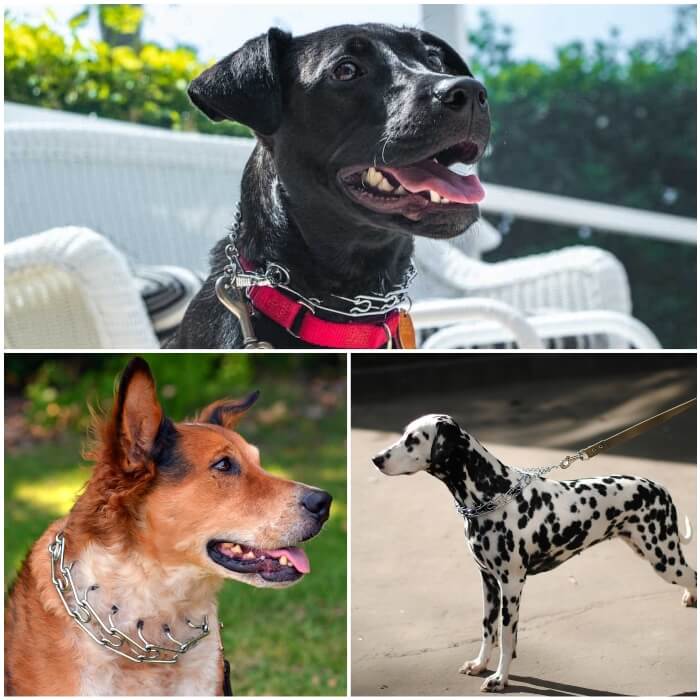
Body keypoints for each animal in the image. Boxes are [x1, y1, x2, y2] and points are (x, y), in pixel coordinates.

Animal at [372, 412, 696, 692]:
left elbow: (507, 637)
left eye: (413, 439)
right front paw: (480, 664)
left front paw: (500, 678)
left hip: (664, 559)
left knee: (693, 576)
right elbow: (488, 629)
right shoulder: (488, 582)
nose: (375, 459)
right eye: (404, 434)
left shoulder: (512, 584)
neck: (492, 492)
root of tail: (660, 488)